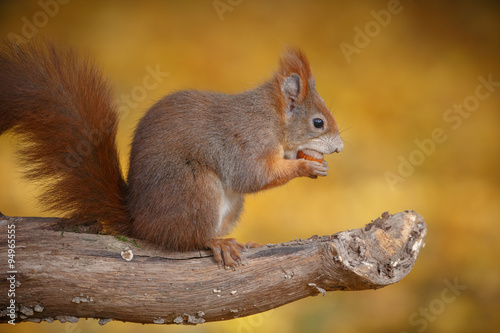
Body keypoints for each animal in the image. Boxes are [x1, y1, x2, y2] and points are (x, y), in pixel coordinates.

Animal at [0, 39, 342, 268]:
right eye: (318, 122)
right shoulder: (247, 141)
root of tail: (139, 223)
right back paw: (215, 242)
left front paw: (313, 164)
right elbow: (252, 176)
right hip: (195, 188)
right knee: (186, 240)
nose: (339, 147)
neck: (272, 118)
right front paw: (306, 168)